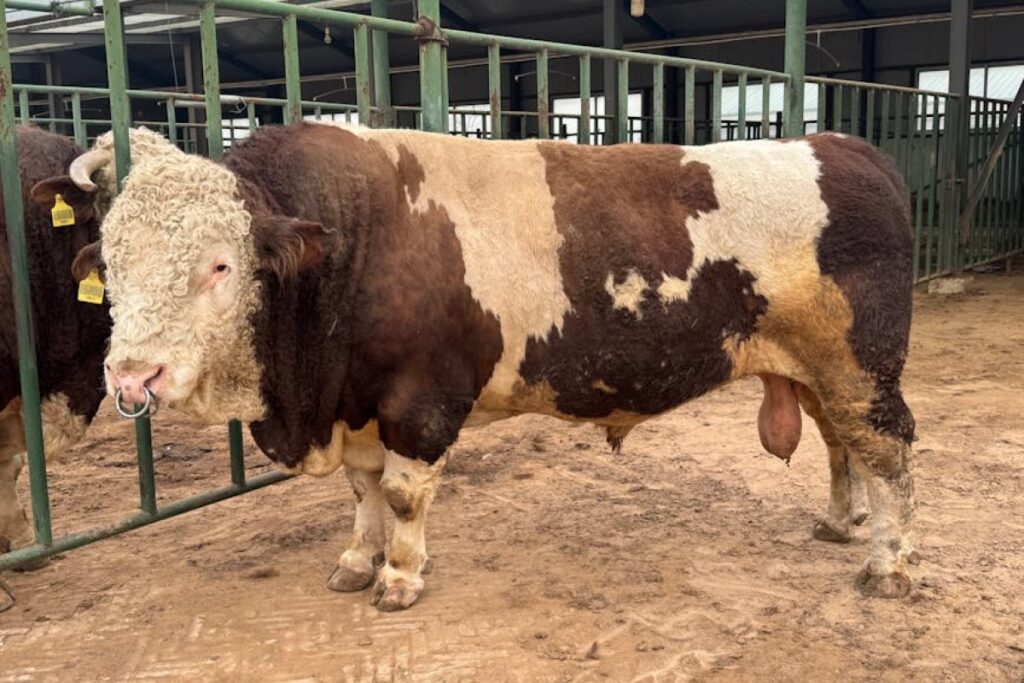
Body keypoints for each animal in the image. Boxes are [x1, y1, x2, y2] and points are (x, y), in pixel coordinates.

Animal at [62, 123, 915, 611]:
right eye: (112, 263)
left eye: (220, 265)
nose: (132, 377)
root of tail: (846, 147)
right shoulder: (357, 404)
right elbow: (363, 493)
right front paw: (357, 559)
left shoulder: (420, 399)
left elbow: (403, 493)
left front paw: (400, 575)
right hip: (817, 370)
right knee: (842, 445)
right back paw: (841, 522)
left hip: (862, 368)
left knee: (888, 451)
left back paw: (893, 564)